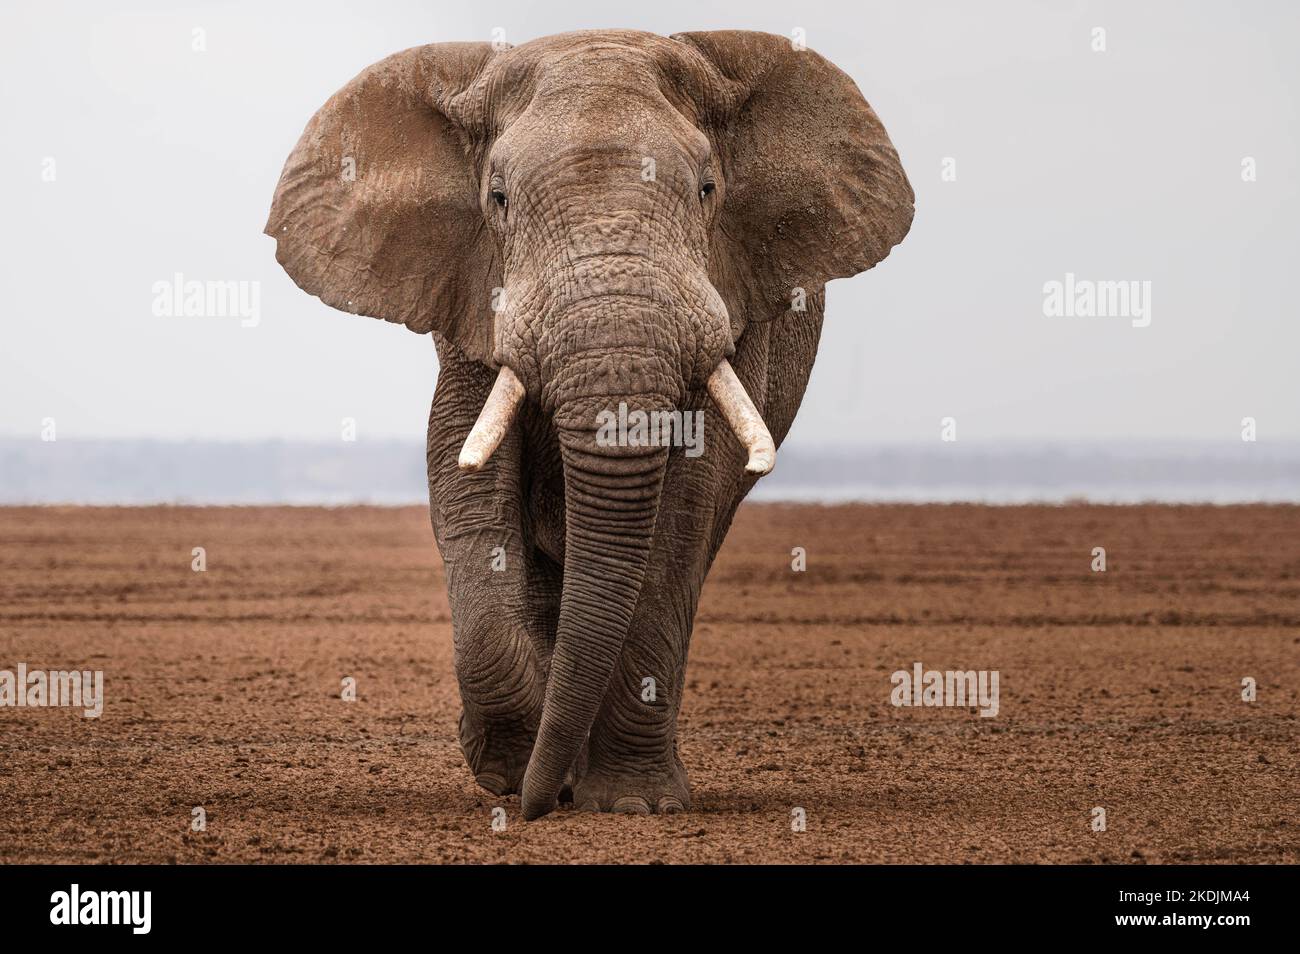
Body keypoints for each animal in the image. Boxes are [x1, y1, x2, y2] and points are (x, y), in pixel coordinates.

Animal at [266, 29, 915, 821]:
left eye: (709, 190)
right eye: (498, 198)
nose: (536, 806)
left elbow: (683, 514)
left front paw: (635, 806)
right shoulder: (470, 296)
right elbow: (463, 477)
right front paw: (511, 772)